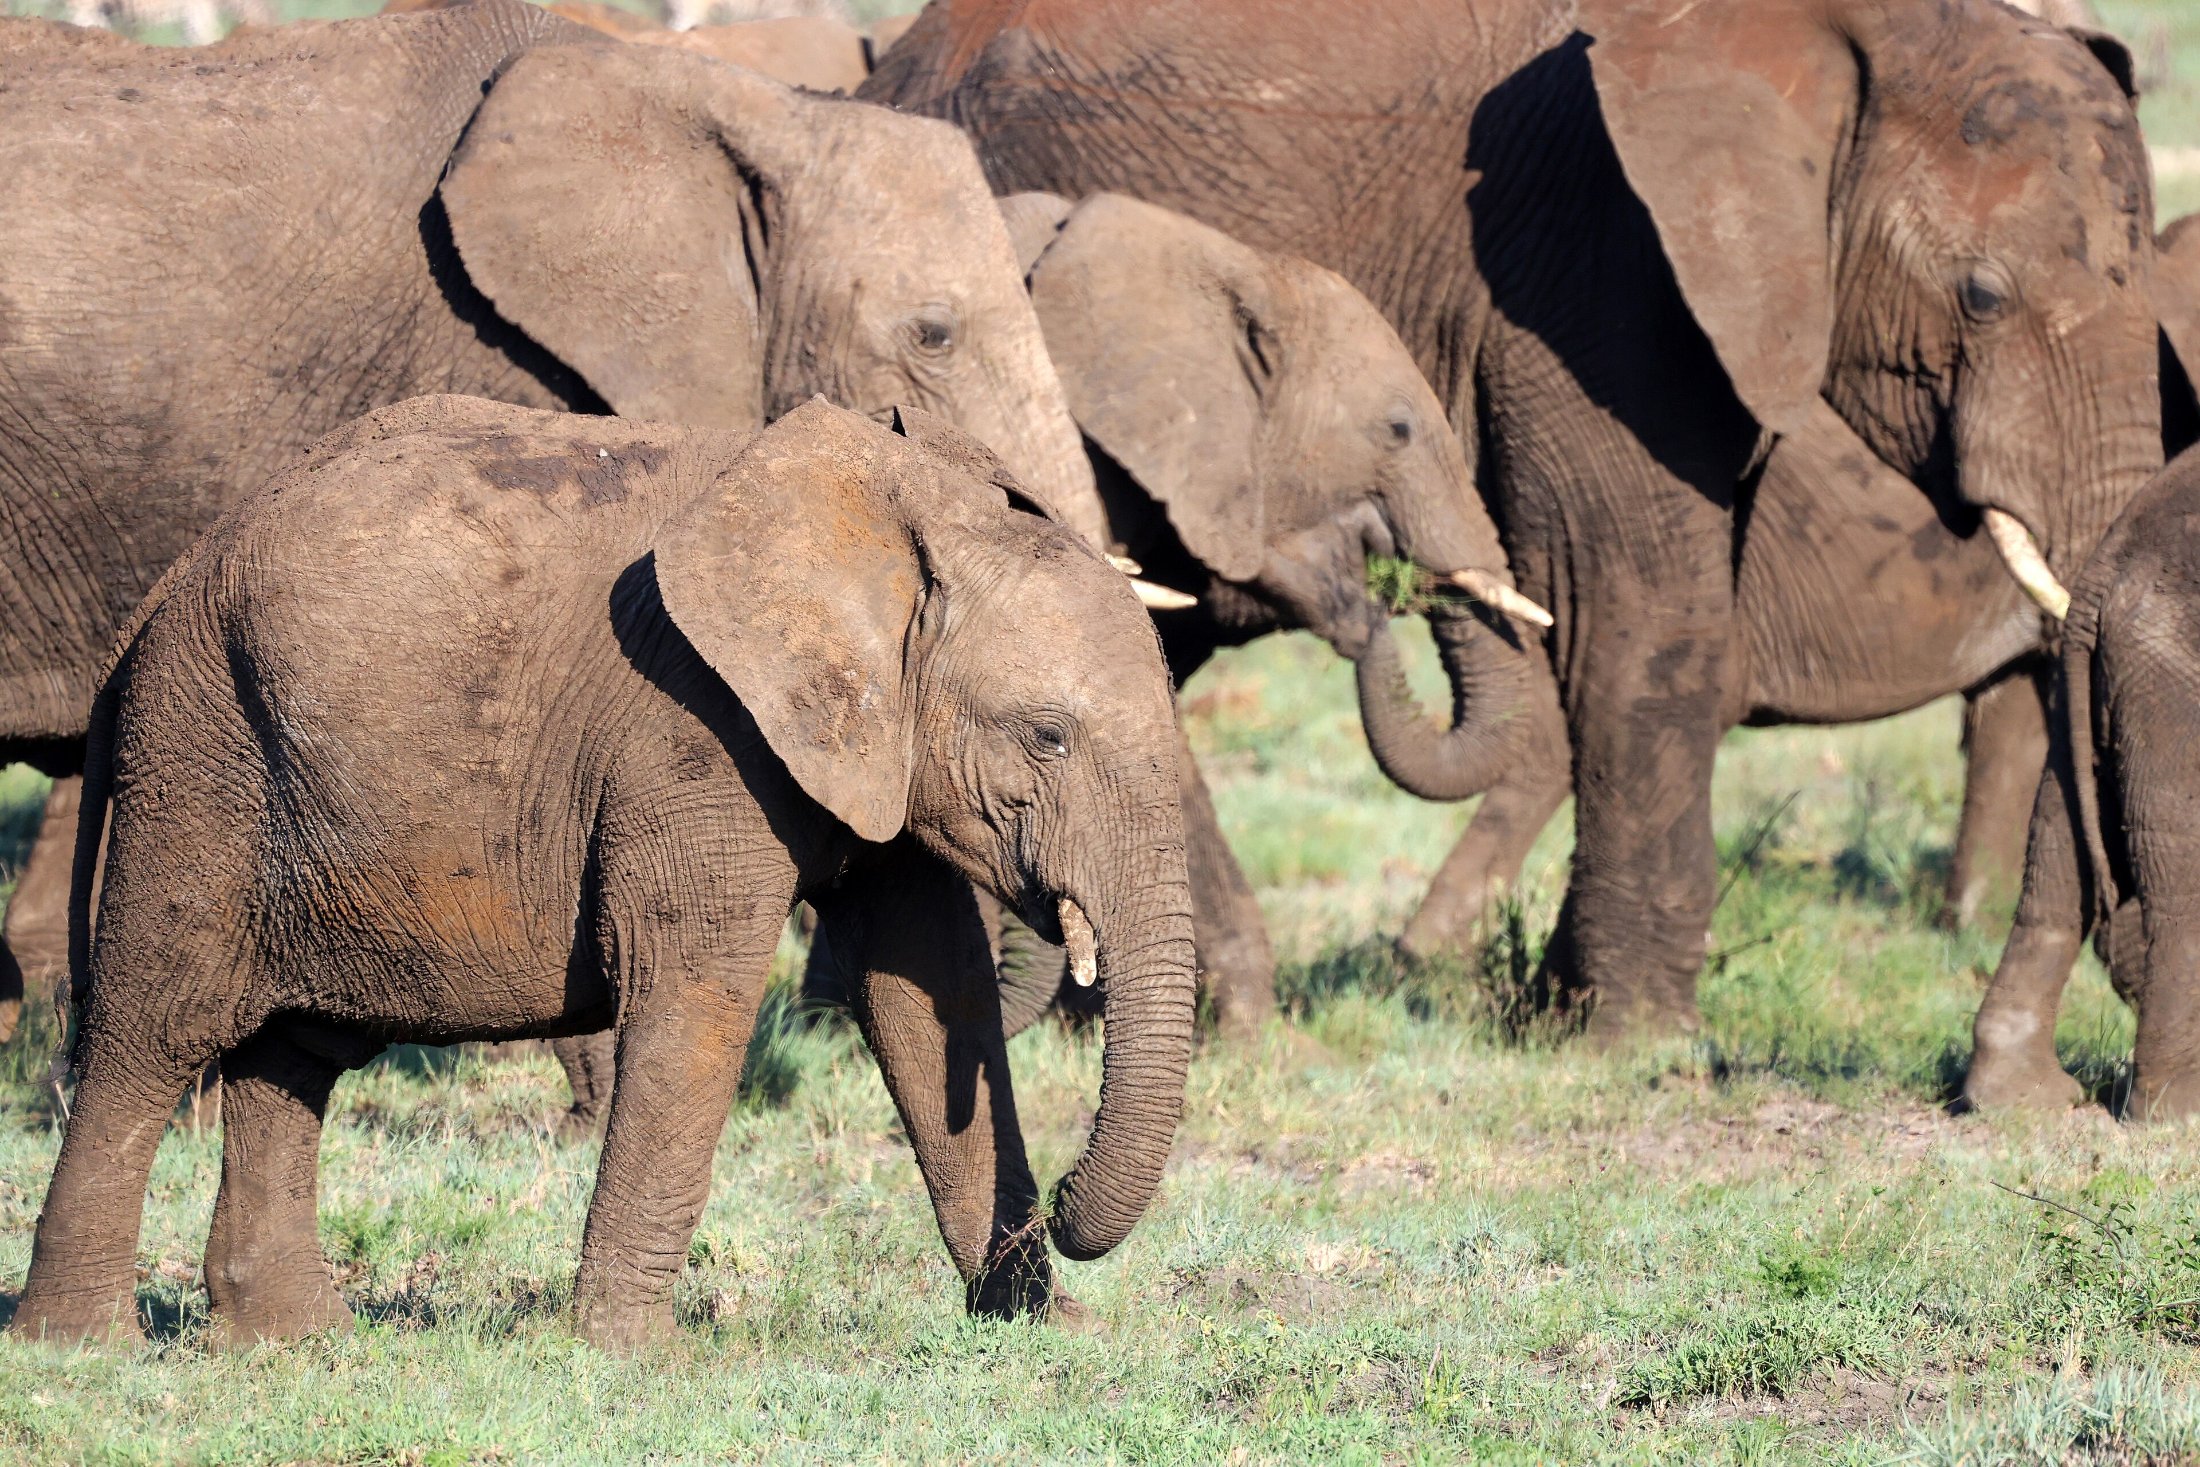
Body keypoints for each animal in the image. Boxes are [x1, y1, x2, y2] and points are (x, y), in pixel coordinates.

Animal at [10, 395, 1195, 1350]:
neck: (894, 515)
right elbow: (699, 988)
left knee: (292, 1051)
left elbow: (927, 990)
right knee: (155, 1027)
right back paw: (81, 1351)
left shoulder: (874, 744)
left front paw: (1051, 1330)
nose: (1065, 1206)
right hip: (200, 757)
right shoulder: (697, 729)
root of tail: (163, 592)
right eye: (1047, 737)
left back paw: (294, 1341)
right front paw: (642, 1358)